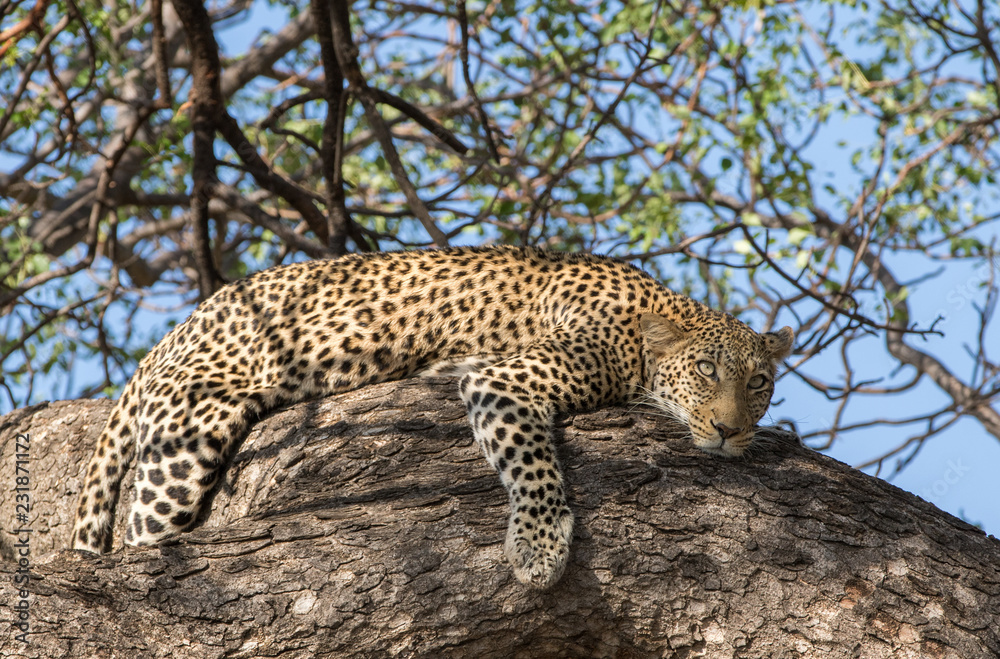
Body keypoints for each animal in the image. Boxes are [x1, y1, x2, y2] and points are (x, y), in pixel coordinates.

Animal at [72, 246, 794, 589]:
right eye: (707, 371)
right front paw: (538, 549)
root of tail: (183, 324)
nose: (730, 430)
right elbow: (536, 471)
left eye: (758, 382)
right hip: (191, 425)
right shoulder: (506, 378)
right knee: (141, 532)